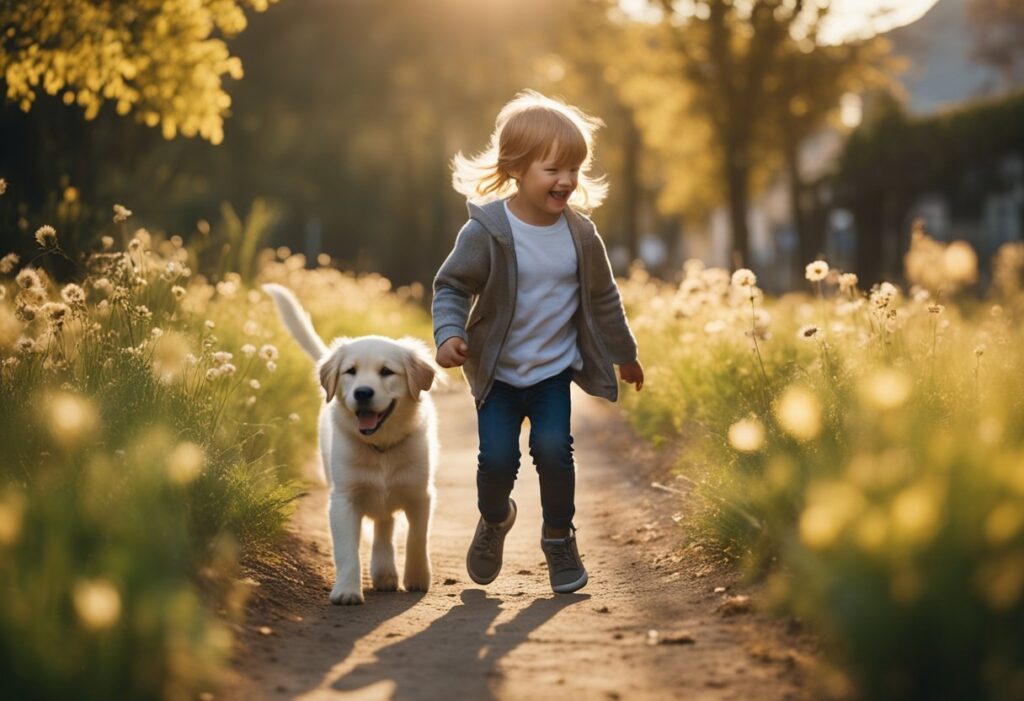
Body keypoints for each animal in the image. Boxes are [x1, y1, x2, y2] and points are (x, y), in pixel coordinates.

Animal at [262, 282, 442, 605]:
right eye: (350, 371)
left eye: (386, 372)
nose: (363, 393)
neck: (381, 447)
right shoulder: (343, 499)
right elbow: (347, 551)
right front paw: (346, 591)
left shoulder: (420, 494)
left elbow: (416, 539)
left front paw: (417, 578)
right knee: (383, 526)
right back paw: (383, 572)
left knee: (386, 525)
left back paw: (386, 573)